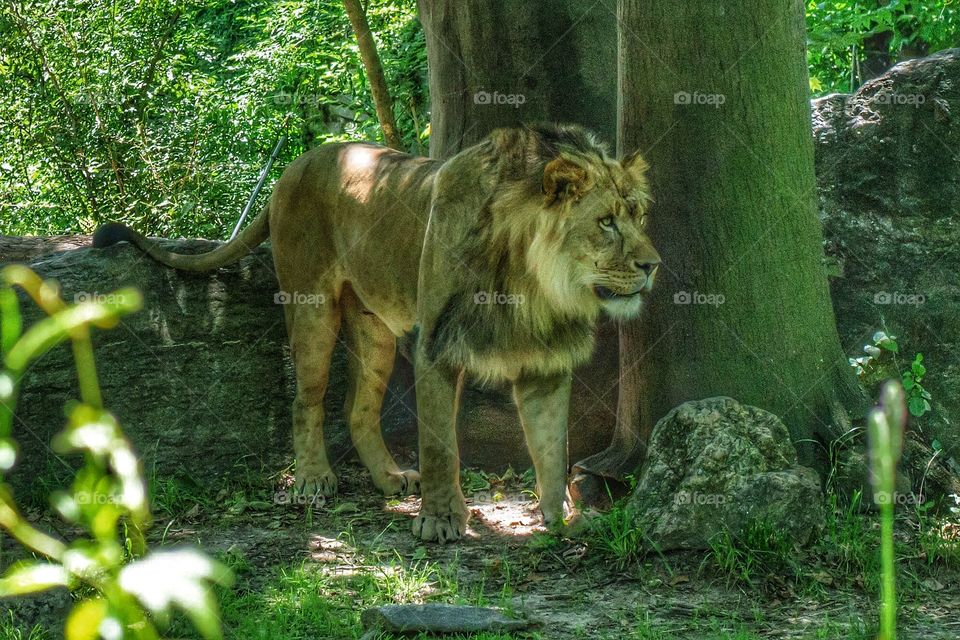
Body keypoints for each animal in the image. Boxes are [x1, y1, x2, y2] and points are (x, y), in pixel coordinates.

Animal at [93, 123, 660, 542]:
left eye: (638, 215)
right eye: (606, 221)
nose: (653, 265)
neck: (534, 283)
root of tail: (290, 169)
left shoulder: (545, 362)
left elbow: (551, 445)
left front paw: (561, 519)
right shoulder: (438, 345)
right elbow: (440, 444)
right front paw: (440, 520)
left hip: (373, 329)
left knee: (356, 408)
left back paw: (389, 477)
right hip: (313, 309)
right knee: (307, 399)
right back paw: (313, 480)